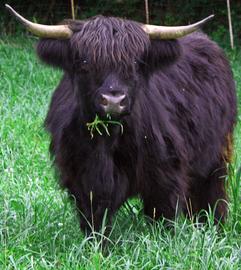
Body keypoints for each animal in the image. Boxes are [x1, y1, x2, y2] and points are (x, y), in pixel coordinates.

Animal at [6, 5, 236, 233]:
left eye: (134, 63)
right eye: (85, 63)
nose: (113, 100)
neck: (107, 140)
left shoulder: (165, 173)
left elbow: (162, 215)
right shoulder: (81, 177)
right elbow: (94, 219)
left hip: (216, 154)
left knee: (212, 194)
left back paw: (213, 227)